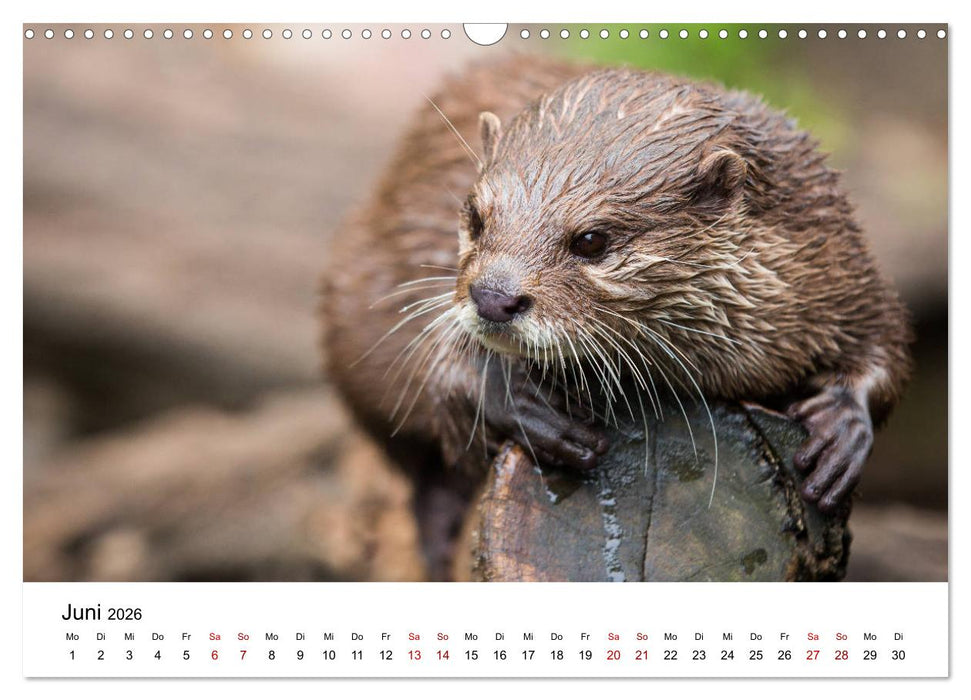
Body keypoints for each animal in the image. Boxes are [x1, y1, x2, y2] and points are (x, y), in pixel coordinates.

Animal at [321, 55, 912, 577]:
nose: (493, 297)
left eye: (591, 240)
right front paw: (516, 397)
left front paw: (842, 425)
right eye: (474, 215)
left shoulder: (839, 256)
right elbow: (437, 357)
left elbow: (888, 344)